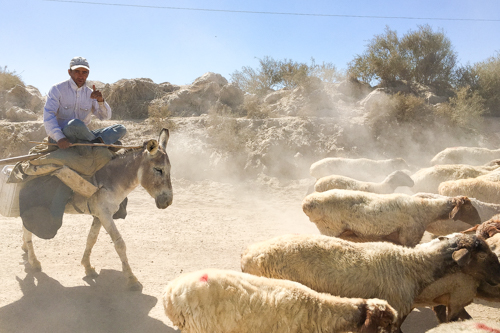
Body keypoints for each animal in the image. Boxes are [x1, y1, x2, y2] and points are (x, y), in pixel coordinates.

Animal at [300, 188, 480, 245]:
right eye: (469, 207)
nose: (479, 220)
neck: (427, 210)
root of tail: (308, 203)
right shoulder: (409, 238)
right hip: (331, 229)